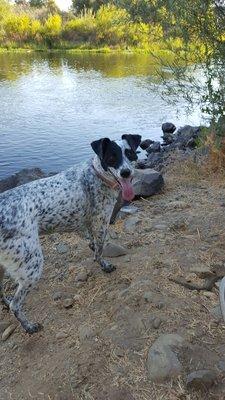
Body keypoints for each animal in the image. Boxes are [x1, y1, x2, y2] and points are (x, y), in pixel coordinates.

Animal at [0, 134, 141, 334]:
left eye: (129, 153)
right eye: (112, 157)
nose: (126, 173)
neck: (96, 174)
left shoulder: (86, 224)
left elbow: (92, 243)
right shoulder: (101, 223)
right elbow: (99, 250)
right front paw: (104, 265)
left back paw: (6, 303)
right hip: (32, 266)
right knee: (16, 305)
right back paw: (29, 325)